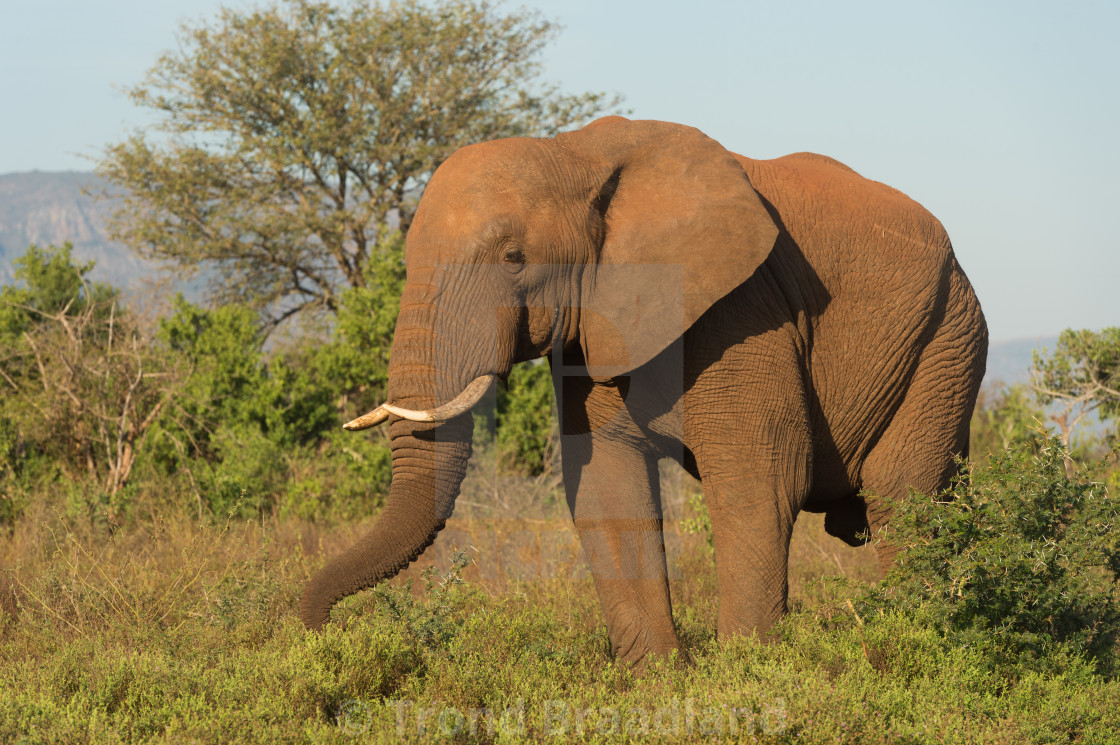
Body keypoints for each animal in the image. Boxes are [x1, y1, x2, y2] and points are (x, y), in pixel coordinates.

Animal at [300, 117, 990, 667]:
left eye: (514, 257)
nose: (319, 634)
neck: (574, 154)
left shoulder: (743, 308)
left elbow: (761, 477)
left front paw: (744, 674)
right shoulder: (591, 329)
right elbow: (606, 486)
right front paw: (657, 680)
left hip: (946, 339)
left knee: (901, 497)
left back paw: (909, 639)